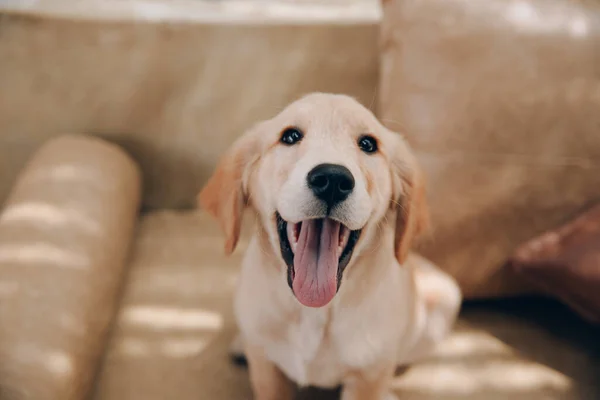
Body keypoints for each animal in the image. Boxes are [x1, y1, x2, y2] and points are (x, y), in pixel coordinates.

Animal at [199, 93, 462, 400]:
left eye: (368, 144)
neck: (314, 311)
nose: (333, 180)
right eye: (290, 136)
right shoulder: (267, 372)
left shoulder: (367, 377)